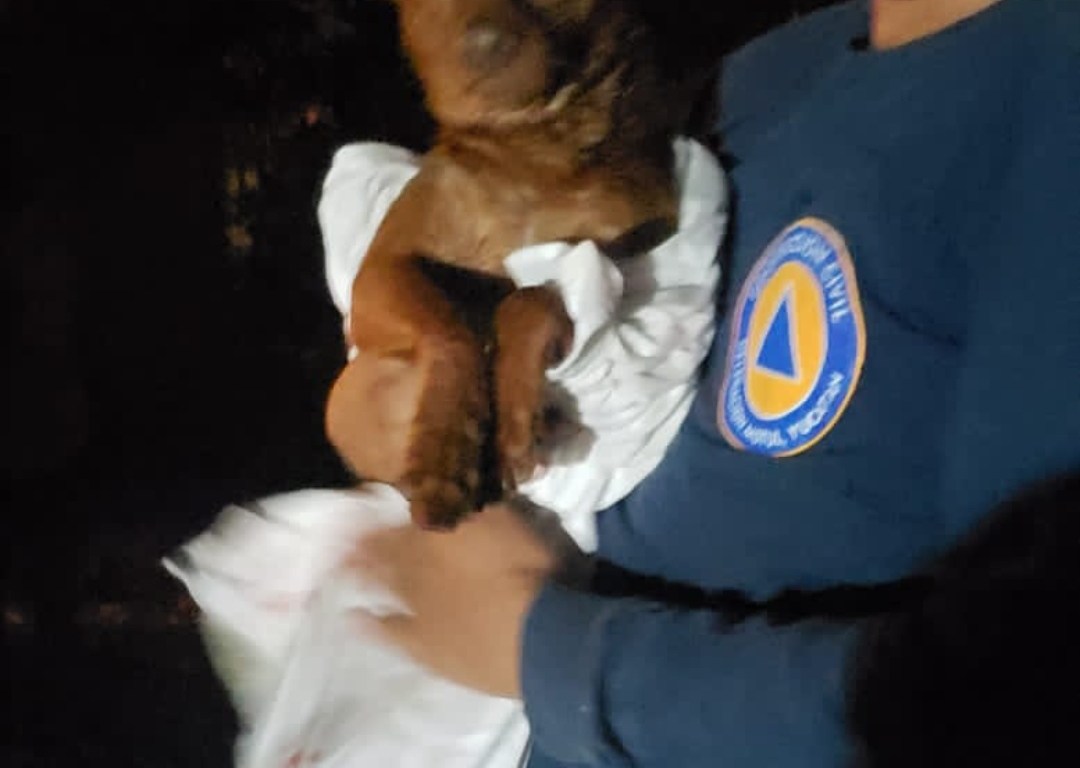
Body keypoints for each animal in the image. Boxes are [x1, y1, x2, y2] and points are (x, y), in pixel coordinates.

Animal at [325, 0, 700, 529]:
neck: (538, 147)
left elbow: (527, 297)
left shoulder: (633, 239)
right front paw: (444, 454)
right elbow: (451, 331)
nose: (483, 46)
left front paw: (515, 409)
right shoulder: (378, 273)